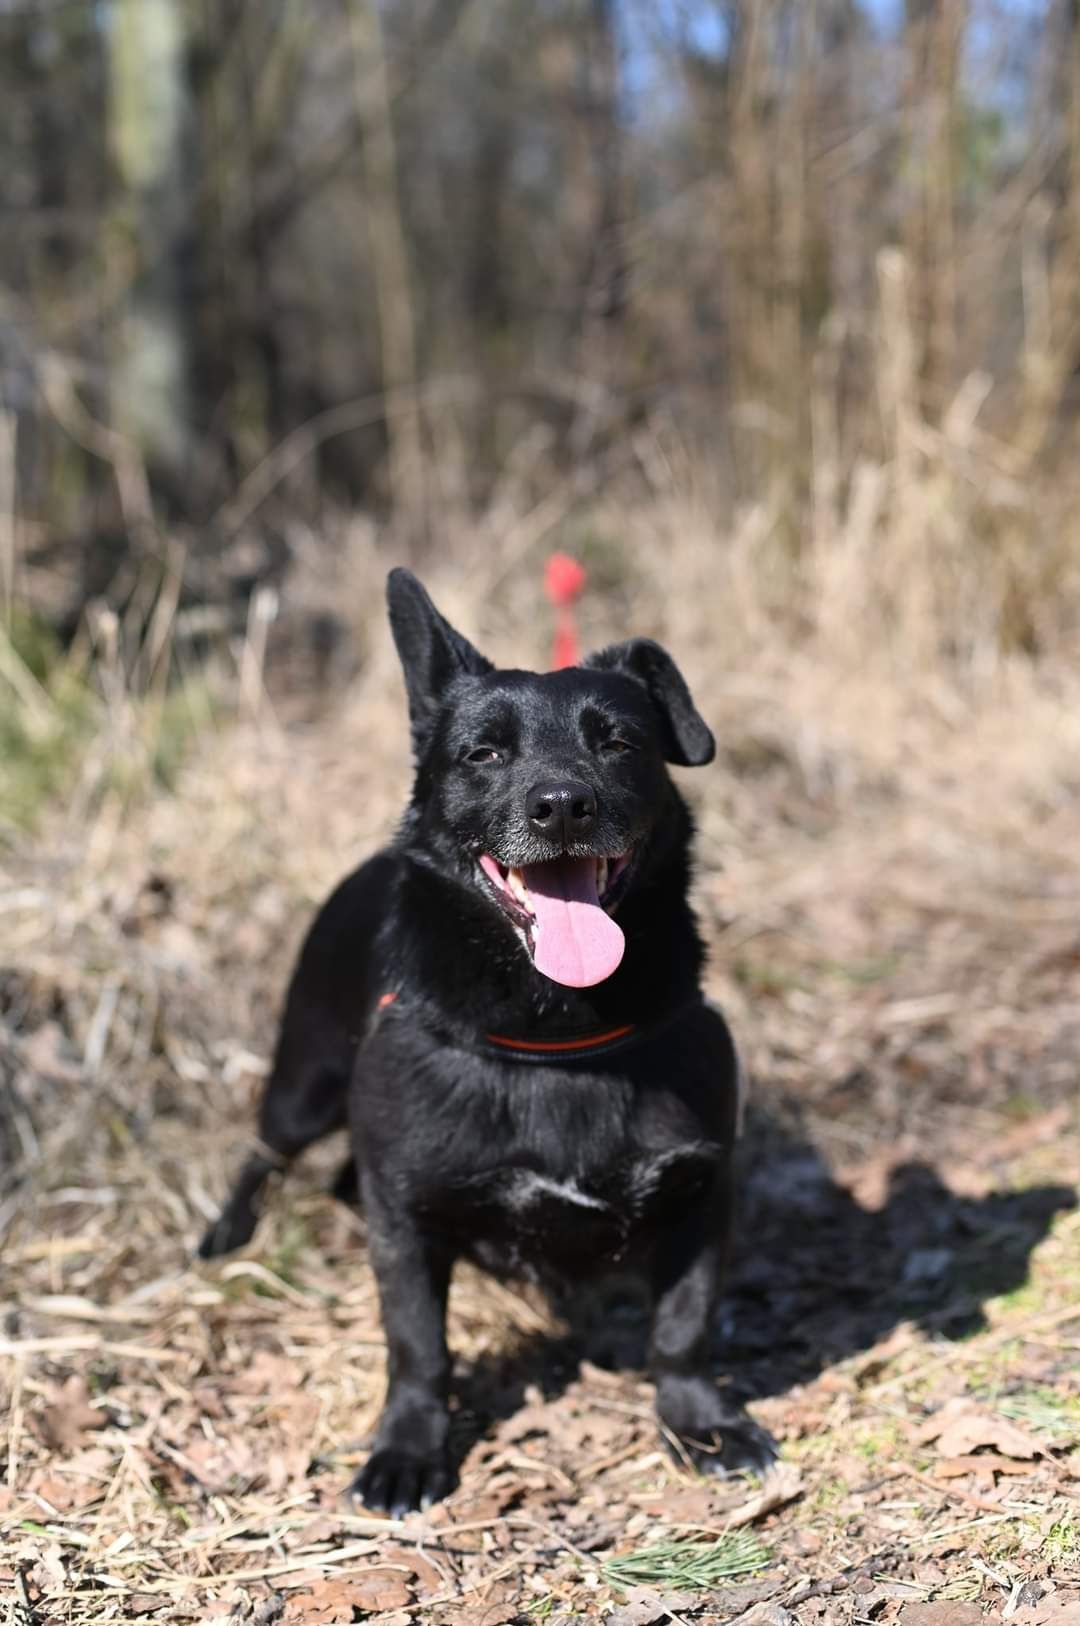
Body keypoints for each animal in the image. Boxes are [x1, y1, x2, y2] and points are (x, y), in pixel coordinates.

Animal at [200, 569, 777, 1508]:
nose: (563, 806)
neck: (554, 1027)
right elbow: (417, 1349)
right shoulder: (405, 1221)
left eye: (619, 743)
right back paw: (226, 1233)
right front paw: (407, 1448)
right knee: (265, 1151)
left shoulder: (702, 1192)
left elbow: (683, 1329)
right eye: (484, 755)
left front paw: (700, 1421)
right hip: (305, 1083)